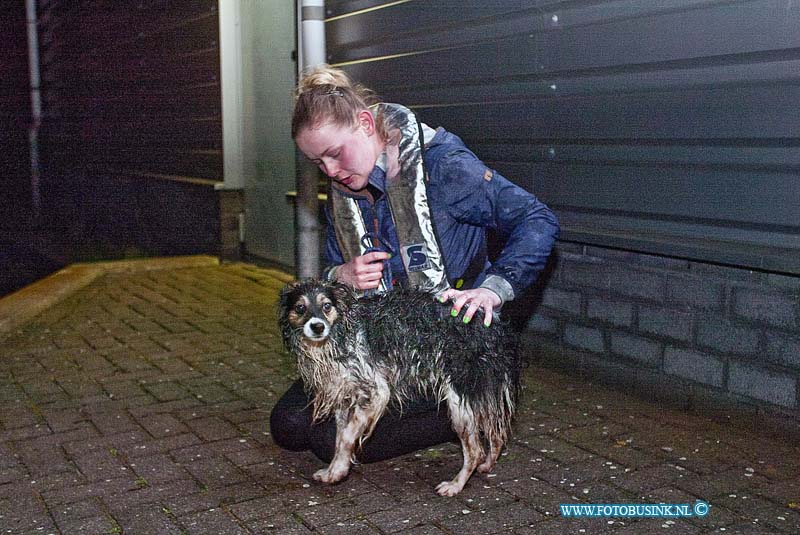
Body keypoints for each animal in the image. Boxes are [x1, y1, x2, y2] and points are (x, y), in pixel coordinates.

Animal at [278, 280, 520, 498]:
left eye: (327, 306)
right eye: (300, 308)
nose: (317, 326)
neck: (337, 338)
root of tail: (494, 328)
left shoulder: (375, 392)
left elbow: (345, 437)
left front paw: (337, 472)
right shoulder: (344, 398)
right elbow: (338, 439)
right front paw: (334, 469)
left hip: (460, 399)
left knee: (476, 450)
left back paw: (455, 485)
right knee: (497, 434)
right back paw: (487, 465)